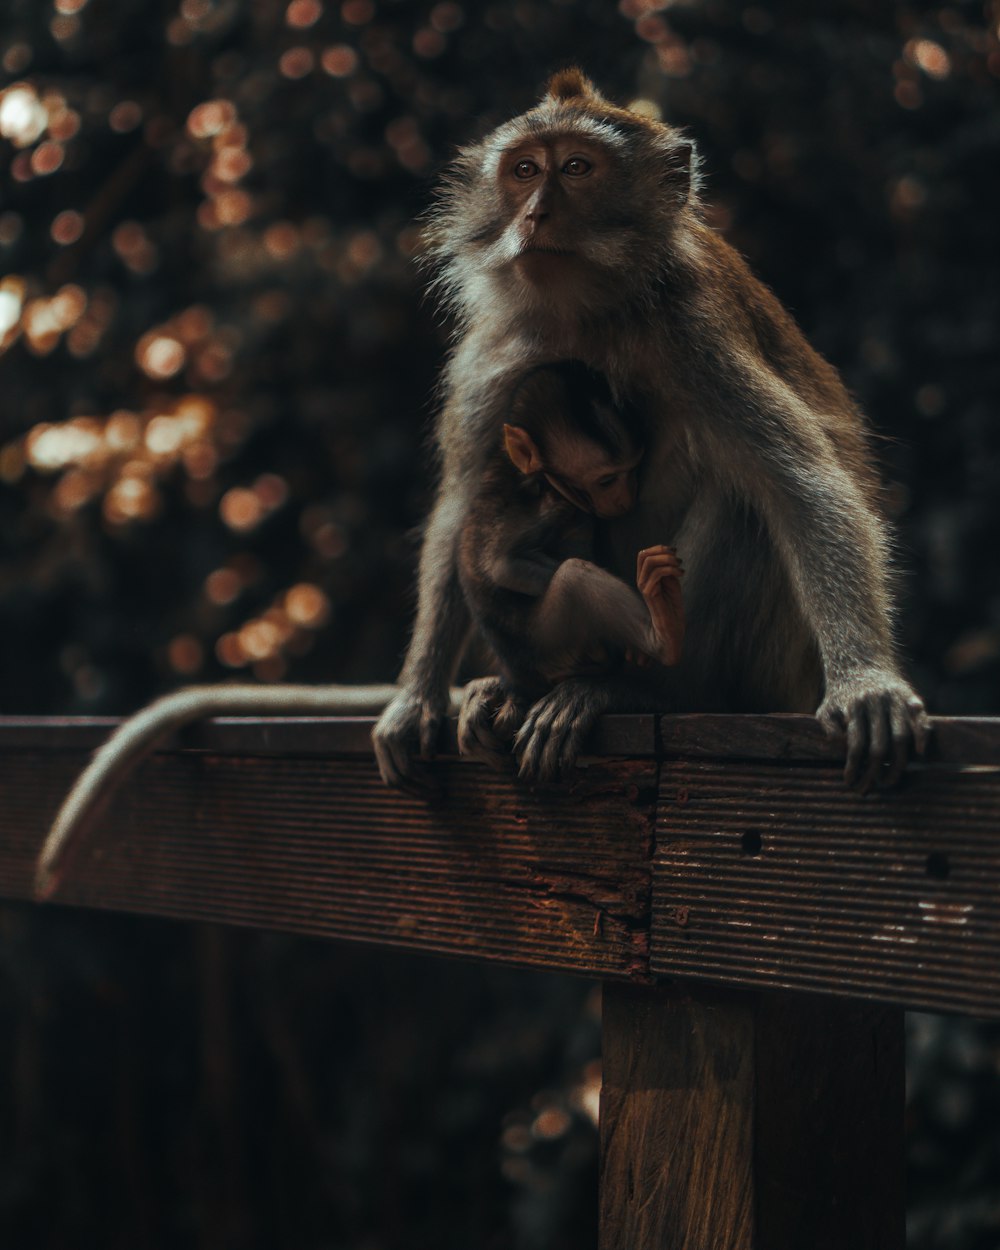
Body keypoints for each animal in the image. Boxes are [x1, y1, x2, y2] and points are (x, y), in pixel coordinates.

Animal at [457, 362, 685, 760]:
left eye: (634, 468)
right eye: (607, 479)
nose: (627, 498)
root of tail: (523, 676)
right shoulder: (547, 501)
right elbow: (505, 564)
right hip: (549, 643)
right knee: (573, 576)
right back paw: (663, 636)